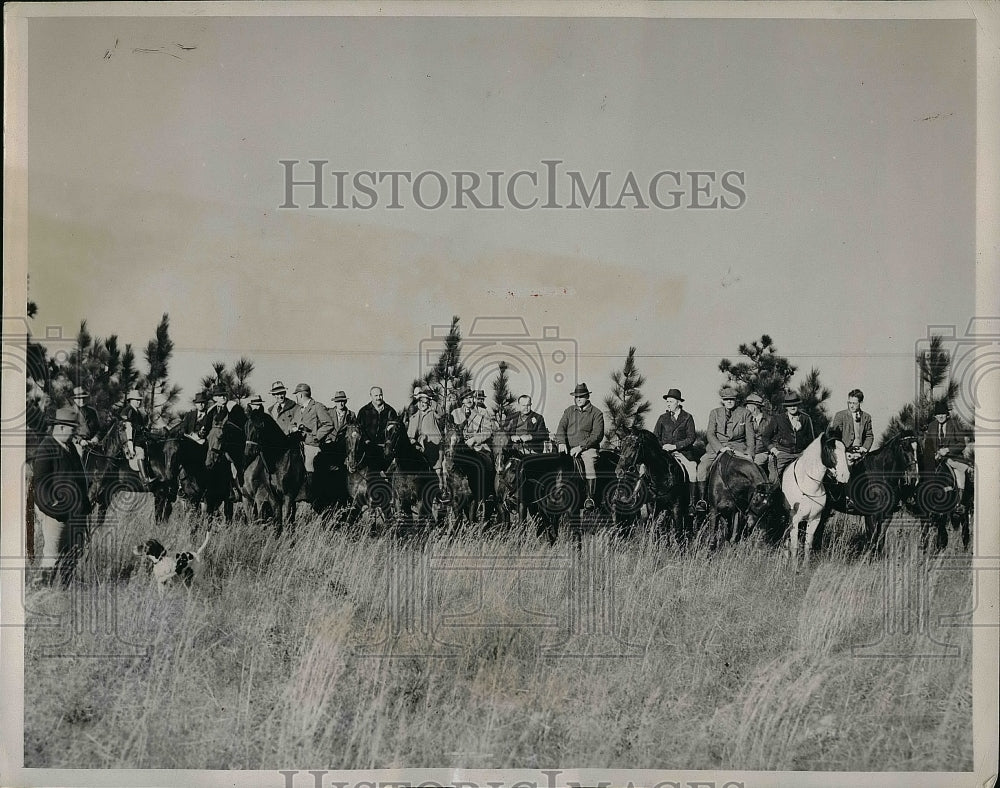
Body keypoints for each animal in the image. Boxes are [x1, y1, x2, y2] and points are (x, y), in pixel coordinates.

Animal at [780, 428, 852, 568]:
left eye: (845, 449)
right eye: (829, 449)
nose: (844, 475)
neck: (808, 485)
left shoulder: (814, 519)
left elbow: (807, 545)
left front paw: (805, 567)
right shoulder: (794, 519)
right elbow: (794, 546)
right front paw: (794, 568)